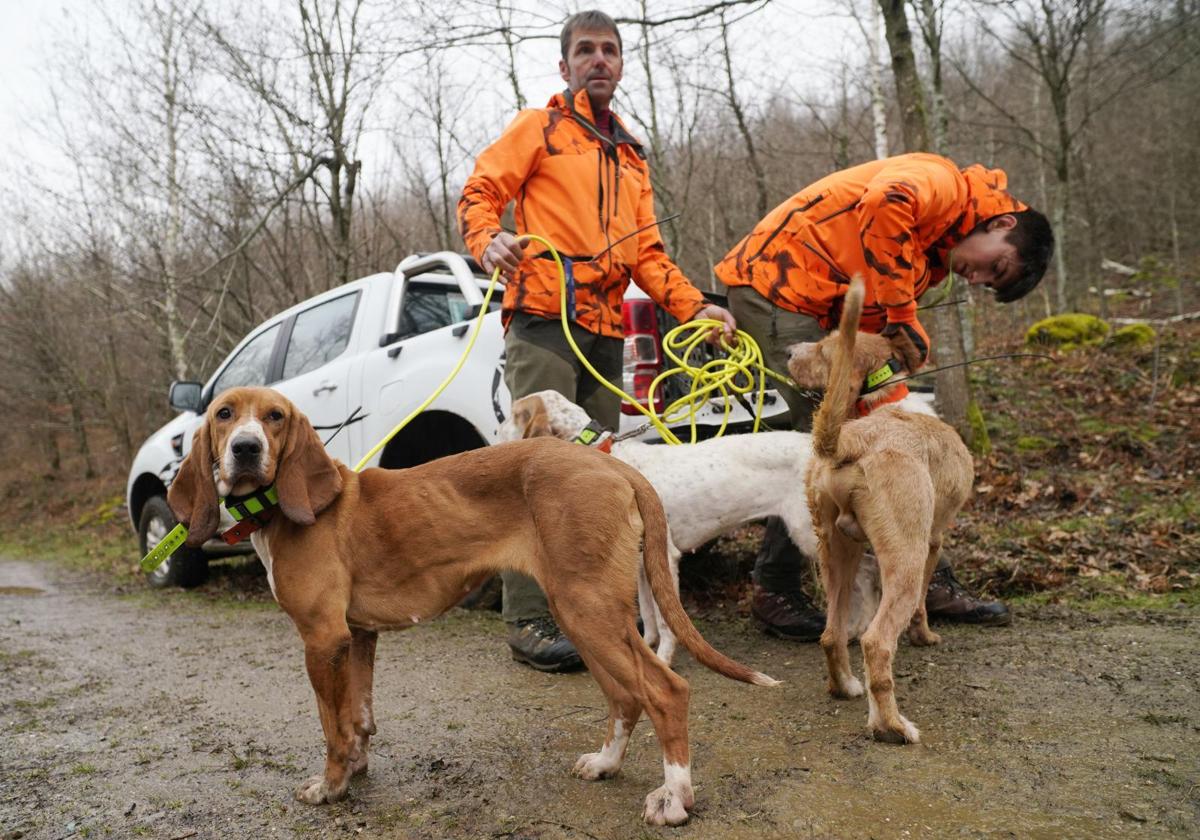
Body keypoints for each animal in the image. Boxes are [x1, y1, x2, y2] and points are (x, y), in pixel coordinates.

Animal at [166, 388, 777, 825]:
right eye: (224, 415)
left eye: (274, 417)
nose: (245, 448)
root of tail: (617, 467)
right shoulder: (359, 637)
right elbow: (359, 717)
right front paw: (357, 770)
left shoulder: (323, 640)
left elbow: (331, 723)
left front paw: (330, 786)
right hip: (584, 615)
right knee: (628, 696)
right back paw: (606, 763)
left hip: (591, 613)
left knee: (666, 691)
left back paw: (674, 798)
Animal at [499, 388, 892, 662]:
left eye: (516, 413)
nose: (497, 428)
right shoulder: (641, 563)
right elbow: (649, 618)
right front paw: (649, 650)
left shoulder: (665, 557)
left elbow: (665, 620)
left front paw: (664, 659)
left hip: (808, 532)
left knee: (867, 571)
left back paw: (857, 627)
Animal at [787, 284, 974, 748]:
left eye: (823, 348)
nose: (787, 351)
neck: (880, 403)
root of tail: (850, 441)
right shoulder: (932, 542)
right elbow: (924, 602)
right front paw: (924, 636)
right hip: (903, 559)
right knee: (875, 642)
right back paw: (890, 725)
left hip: (837, 552)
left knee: (832, 634)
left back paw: (845, 687)